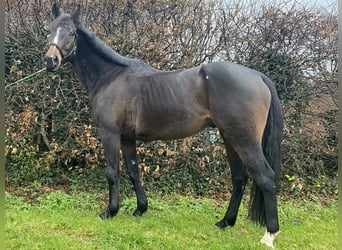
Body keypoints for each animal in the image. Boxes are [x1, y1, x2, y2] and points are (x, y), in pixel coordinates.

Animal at [43, 3, 284, 248]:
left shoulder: (109, 133)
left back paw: (269, 235)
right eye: (49, 29)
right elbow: (134, 172)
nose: (50, 60)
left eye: (72, 33)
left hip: (244, 140)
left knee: (265, 177)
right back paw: (225, 222)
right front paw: (140, 209)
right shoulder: (127, 138)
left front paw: (110, 212)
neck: (111, 77)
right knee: (239, 178)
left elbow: (112, 172)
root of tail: (258, 76)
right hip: (230, 138)